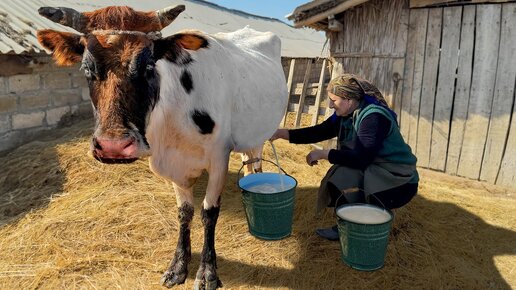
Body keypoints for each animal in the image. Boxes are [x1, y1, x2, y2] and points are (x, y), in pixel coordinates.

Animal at [36, 5, 286, 290]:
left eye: (148, 66)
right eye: (87, 69)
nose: (114, 146)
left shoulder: (219, 158)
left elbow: (209, 212)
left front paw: (207, 272)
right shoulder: (175, 166)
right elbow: (184, 213)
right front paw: (177, 266)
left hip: (260, 132)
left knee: (256, 163)